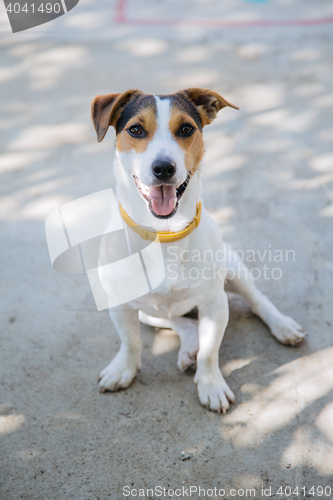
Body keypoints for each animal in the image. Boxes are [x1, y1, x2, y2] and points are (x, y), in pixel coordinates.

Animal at [90, 89, 304, 414]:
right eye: (135, 130)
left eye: (186, 129)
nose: (164, 168)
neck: (165, 234)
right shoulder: (121, 305)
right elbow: (131, 342)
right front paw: (123, 369)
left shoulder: (215, 305)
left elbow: (210, 351)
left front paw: (211, 385)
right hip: (149, 313)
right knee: (182, 322)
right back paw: (189, 347)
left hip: (233, 269)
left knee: (256, 300)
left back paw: (281, 325)